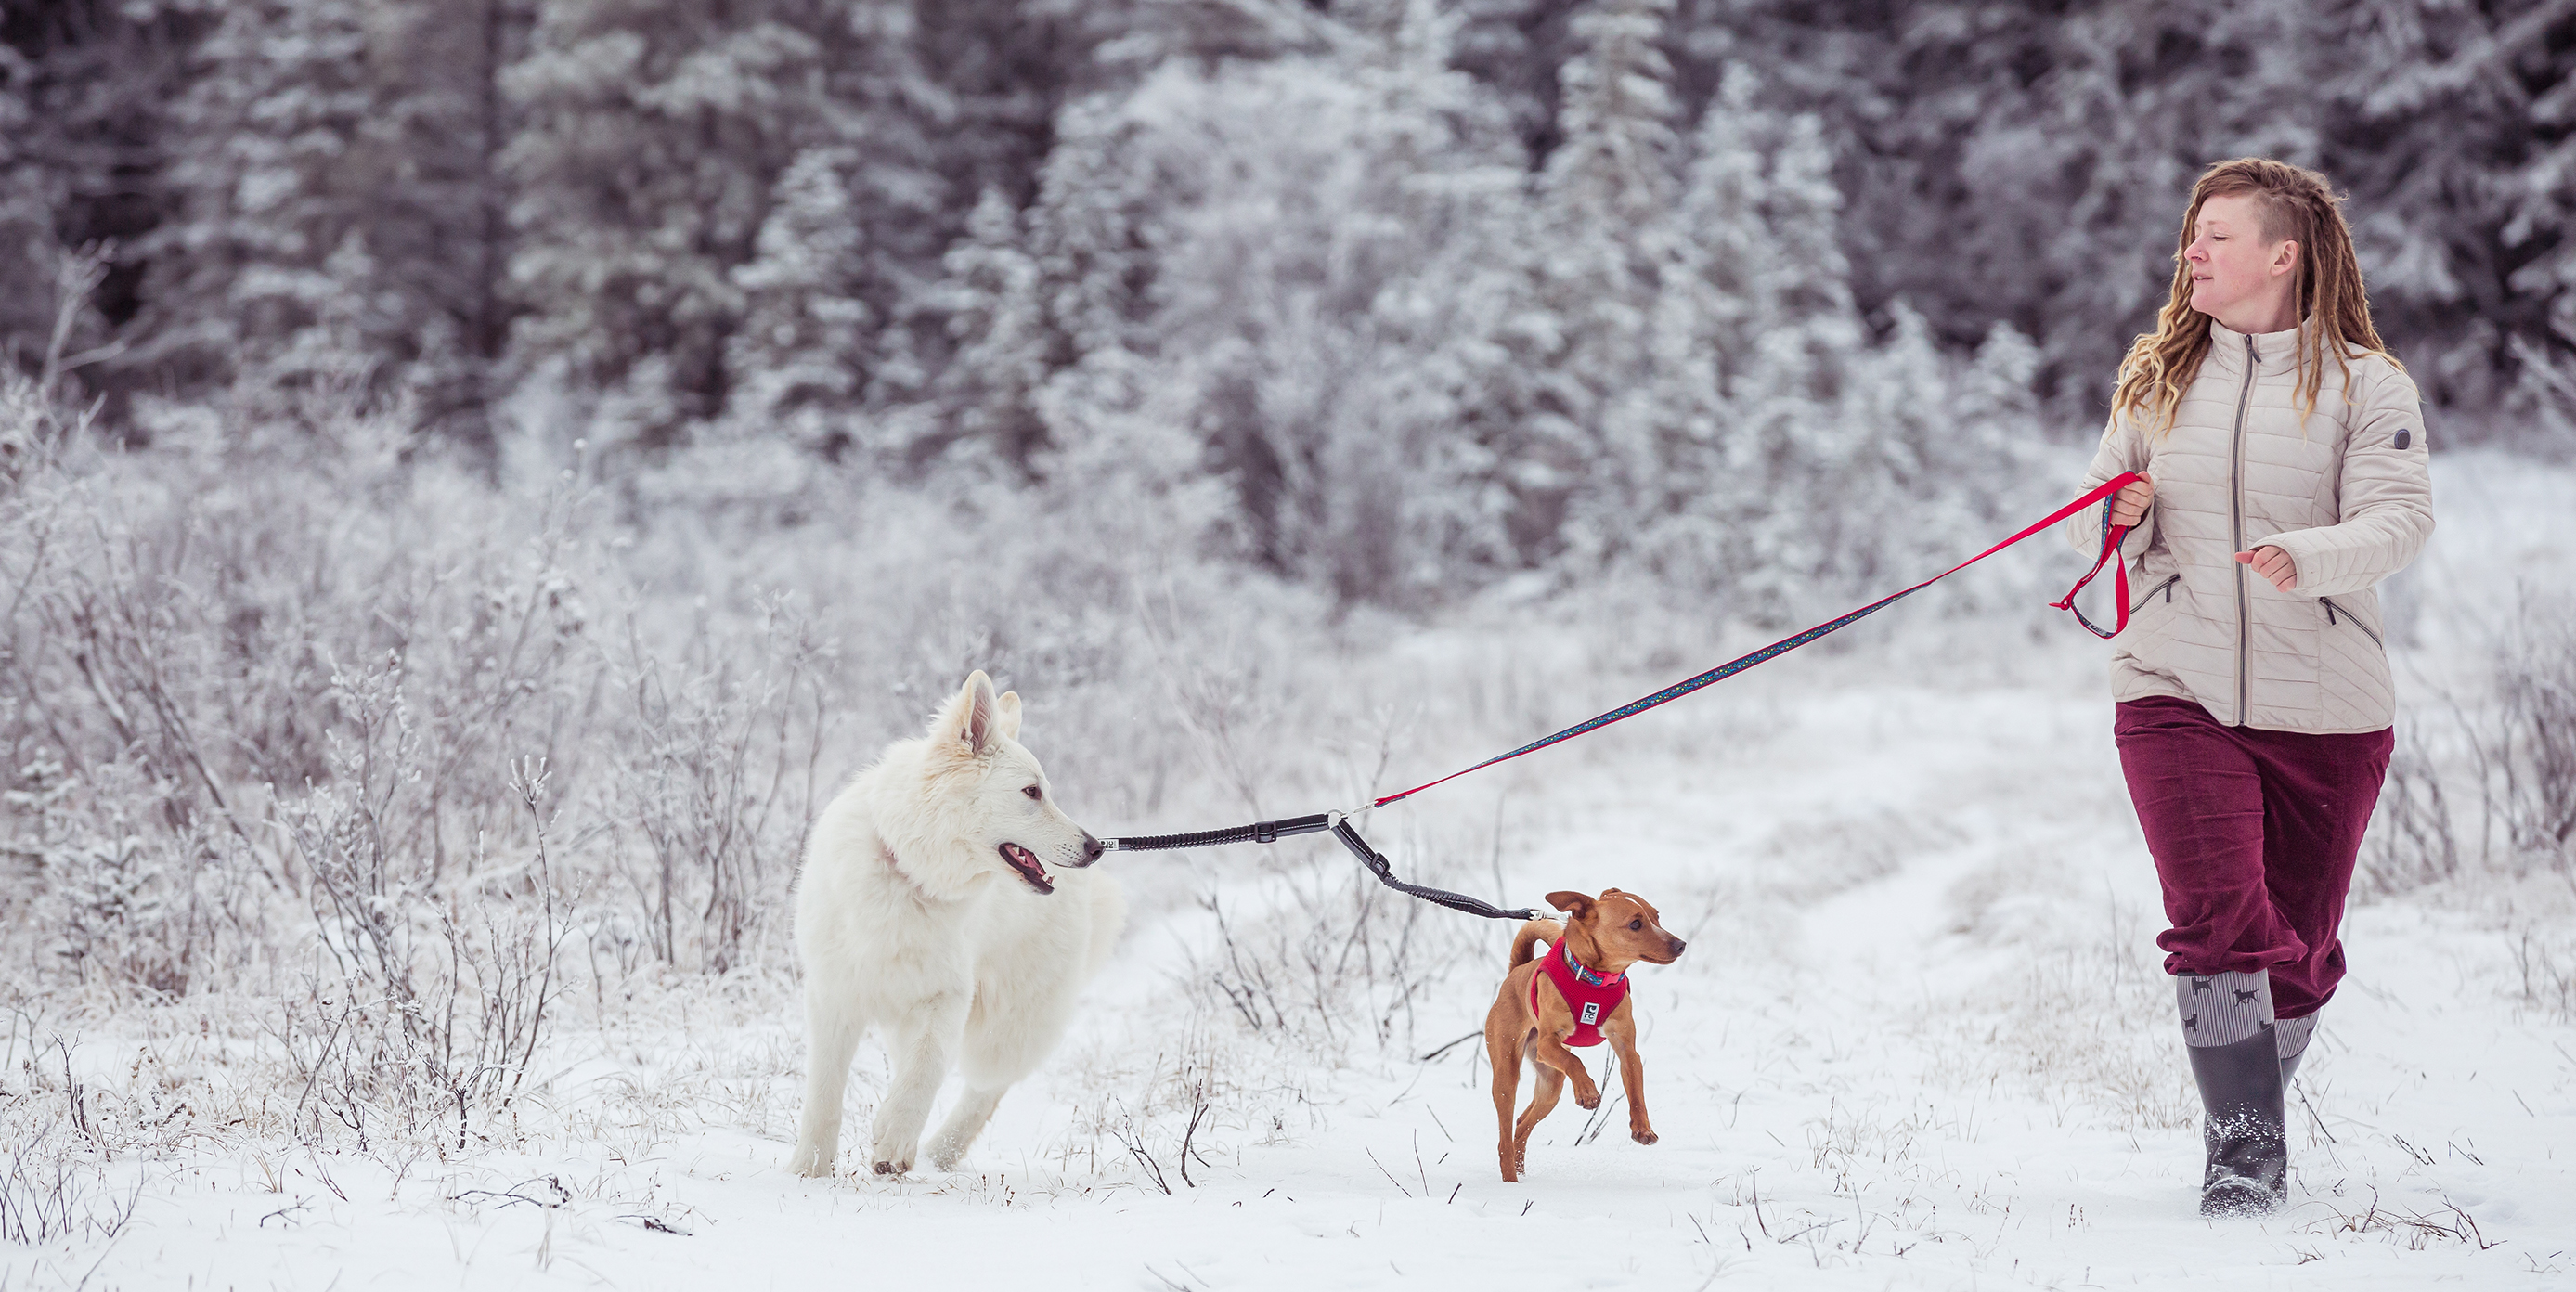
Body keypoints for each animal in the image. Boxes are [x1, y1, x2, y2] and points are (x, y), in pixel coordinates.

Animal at [778, 668, 1112, 1173]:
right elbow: (824, 1092)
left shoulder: (947, 994)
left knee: (986, 1089)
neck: (909, 872)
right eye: (1032, 792)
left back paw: (938, 1153)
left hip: (1010, 1020)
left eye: (1045, 790)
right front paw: (810, 1169)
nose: (1095, 848)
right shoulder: (834, 993)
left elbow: (927, 1066)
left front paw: (895, 1139)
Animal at [1483, 890, 1679, 1178]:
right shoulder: (1548, 1043)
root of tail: (1517, 971)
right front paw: (1587, 1092)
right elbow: (1574, 1060)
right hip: (1507, 1075)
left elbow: (1636, 1089)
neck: (1595, 981)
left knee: (1521, 1124)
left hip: (1551, 1083)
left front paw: (1642, 1128)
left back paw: (1521, 1172)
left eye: (1656, 917)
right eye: (1635, 924)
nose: (1681, 944)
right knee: (1504, 1138)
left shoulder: (1626, 1048)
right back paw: (1510, 1179)